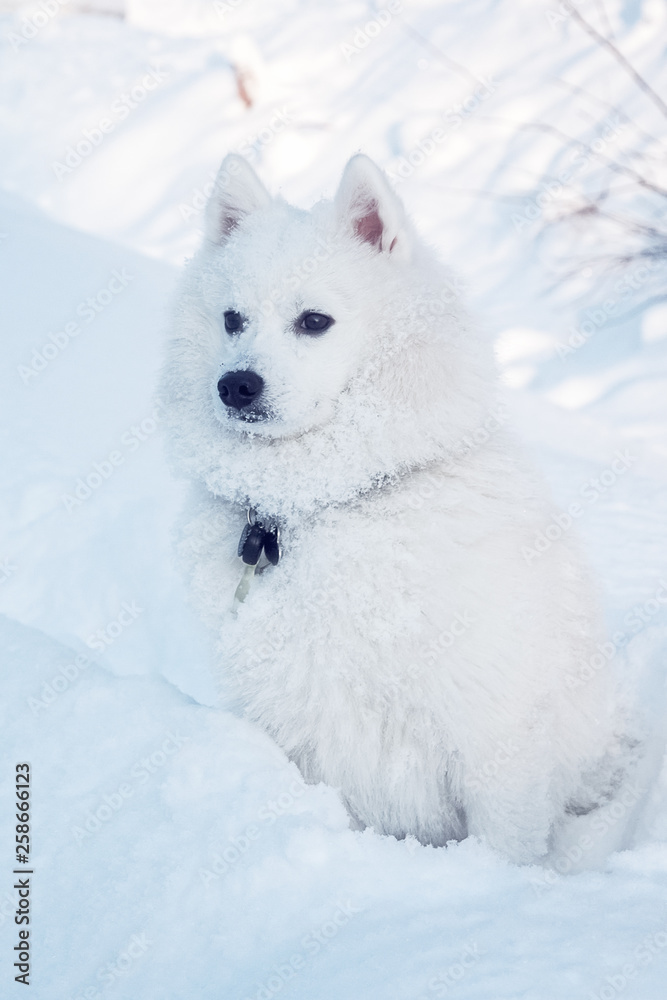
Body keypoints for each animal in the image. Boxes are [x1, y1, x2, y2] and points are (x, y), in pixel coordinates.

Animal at [160, 152, 636, 864]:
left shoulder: (494, 735)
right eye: (231, 319)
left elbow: (504, 841)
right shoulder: (298, 724)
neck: (331, 504)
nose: (235, 384)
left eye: (314, 321)